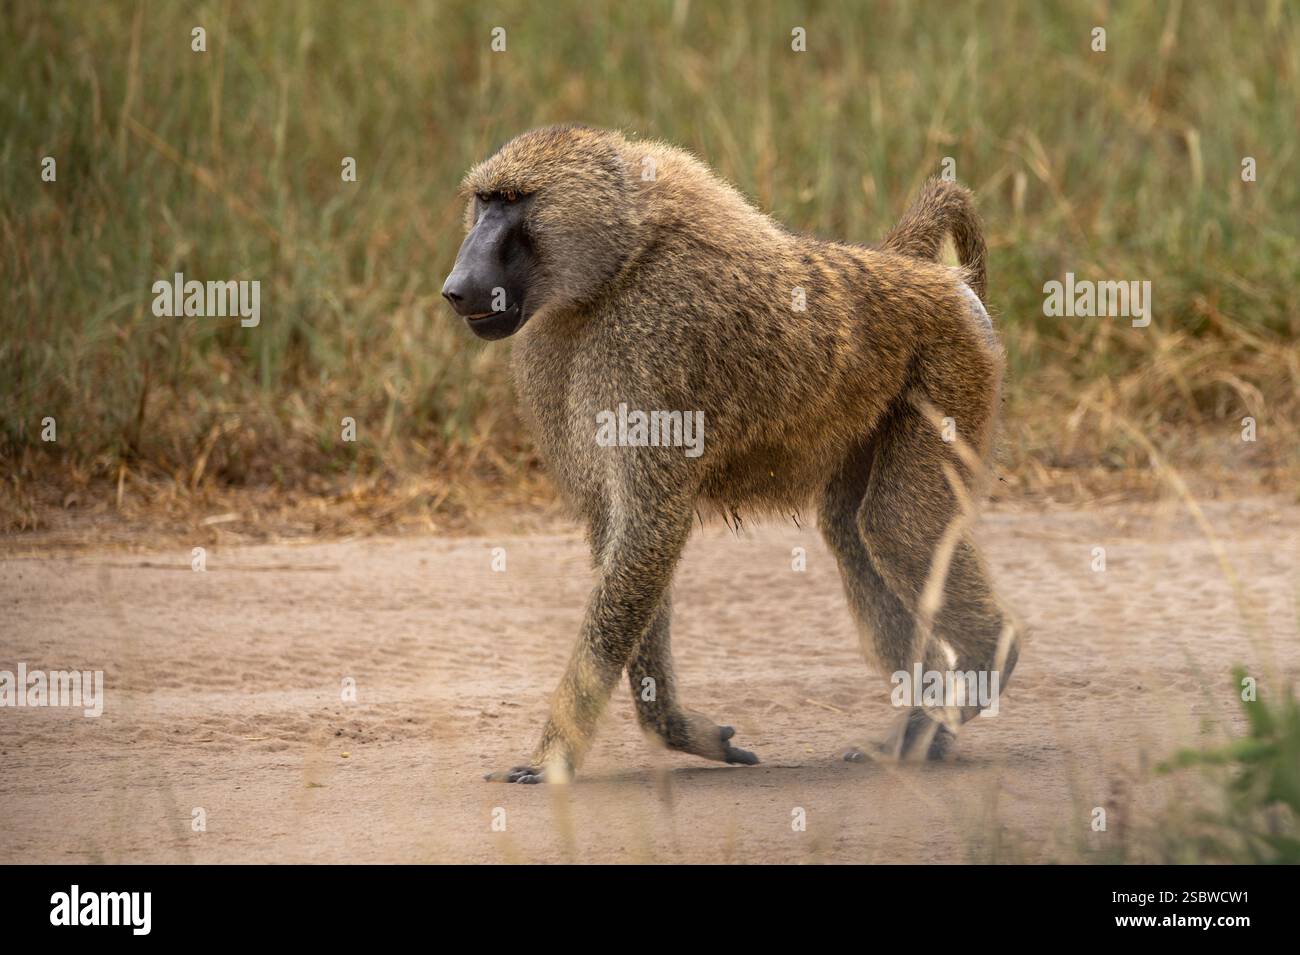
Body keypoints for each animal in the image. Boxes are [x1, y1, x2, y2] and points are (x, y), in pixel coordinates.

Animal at [441, 124, 1020, 783]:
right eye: (485, 201)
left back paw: (982, 667)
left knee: (896, 526)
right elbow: (621, 533)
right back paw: (923, 723)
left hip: (952, 367)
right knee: (855, 527)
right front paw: (678, 729)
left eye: (515, 201)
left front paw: (551, 756)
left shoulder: (653, 341)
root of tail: (919, 272)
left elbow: (648, 533)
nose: (456, 288)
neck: (617, 267)